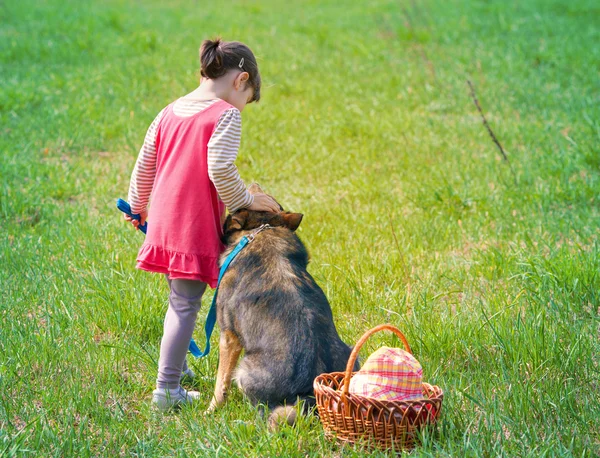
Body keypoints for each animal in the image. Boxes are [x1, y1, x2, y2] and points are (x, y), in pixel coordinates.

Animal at [207, 184, 356, 428]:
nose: (254, 185)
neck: (262, 230)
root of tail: (308, 395)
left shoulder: (228, 336)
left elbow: (221, 382)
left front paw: (211, 410)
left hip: (244, 371)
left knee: (262, 412)